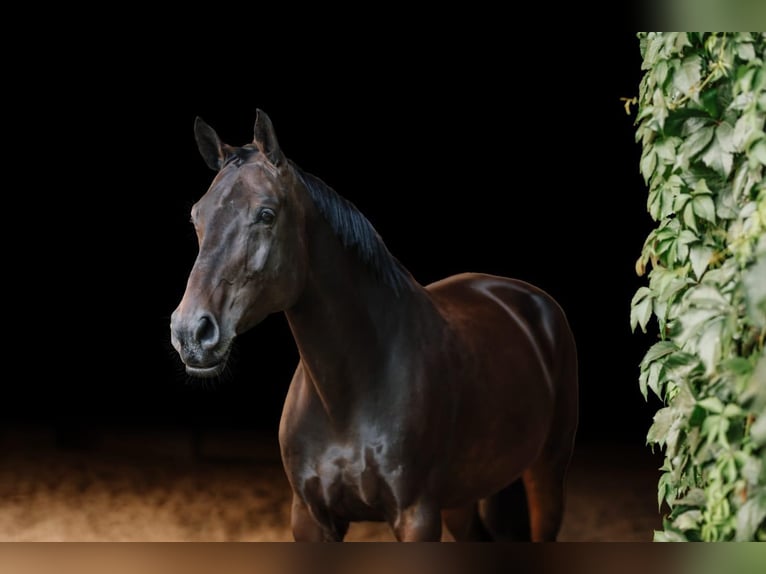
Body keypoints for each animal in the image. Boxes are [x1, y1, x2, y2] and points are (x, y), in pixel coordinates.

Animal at [170, 110, 579, 542]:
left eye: (266, 214)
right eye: (196, 216)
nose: (190, 333)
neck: (347, 397)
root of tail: (531, 301)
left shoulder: (416, 518)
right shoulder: (310, 517)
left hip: (546, 475)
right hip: (465, 499)